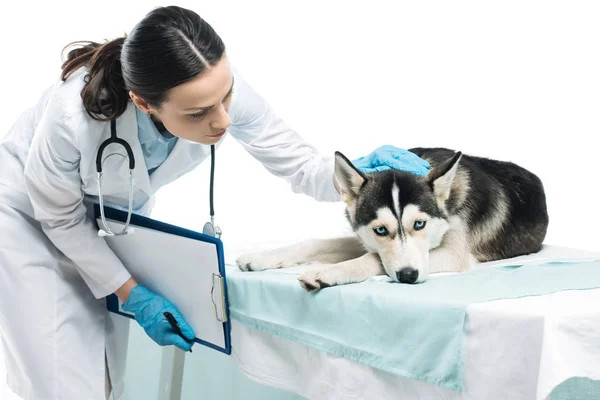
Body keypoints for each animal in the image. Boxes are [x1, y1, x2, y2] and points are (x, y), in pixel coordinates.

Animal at [234, 147, 548, 290]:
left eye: (419, 224)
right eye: (380, 230)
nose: (408, 276)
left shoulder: (453, 253)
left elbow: (373, 260)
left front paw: (326, 273)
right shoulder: (365, 237)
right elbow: (316, 243)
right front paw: (261, 257)